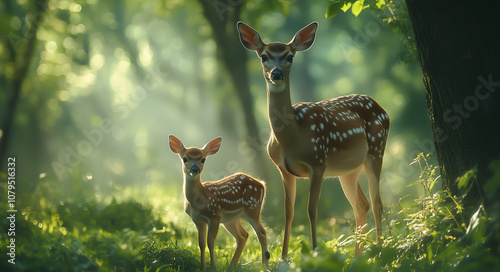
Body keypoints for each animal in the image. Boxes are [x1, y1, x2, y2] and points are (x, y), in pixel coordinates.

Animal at [168, 135, 270, 270]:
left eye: (203, 159)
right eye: (185, 159)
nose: (195, 169)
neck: (198, 201)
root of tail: (262, 184)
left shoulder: (214, 216)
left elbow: (211, 243)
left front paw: (213, 268)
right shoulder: (198, 220)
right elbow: (201, 244)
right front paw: (202, 268)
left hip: (253, 208)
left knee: (262, 233)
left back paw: (264, 266)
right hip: (231, 219)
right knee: (243, 235)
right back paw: (231, 267)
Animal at [237, 21, 390, 258]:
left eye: (290, 56)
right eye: (264, 56)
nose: (276, 74)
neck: (293, 136)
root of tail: (383, 109)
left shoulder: (317, 162)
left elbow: (311, 209)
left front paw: (316, 252)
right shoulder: (283, 169)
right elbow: (289, 212)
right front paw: (284, 257)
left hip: (377, 149)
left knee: (377, 203)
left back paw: (380, 251)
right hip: (348, 170)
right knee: (361, 205)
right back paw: (357, 257)